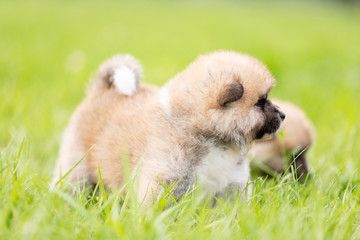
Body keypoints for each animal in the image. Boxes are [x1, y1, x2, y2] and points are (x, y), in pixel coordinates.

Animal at [52, 51, 284, 204]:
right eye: (260, 102)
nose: (283, 115)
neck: (213, 139)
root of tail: (102, 90)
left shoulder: (232, 186)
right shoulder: (166, 180)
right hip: (77, 166)